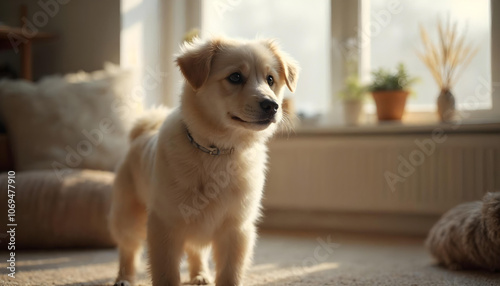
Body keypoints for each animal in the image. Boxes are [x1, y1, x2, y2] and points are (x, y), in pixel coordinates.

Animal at [109, 36, 296, 286]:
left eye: (270, 79)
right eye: (235, 77)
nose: (272, 105)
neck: (215, 152)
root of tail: (143, 133)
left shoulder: (236, 229)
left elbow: (229, 274)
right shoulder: (165, 224)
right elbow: (166, 274)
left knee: (195, 251)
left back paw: (200, 275)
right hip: (128, 216)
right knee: (128, 250)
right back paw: (124, 277)